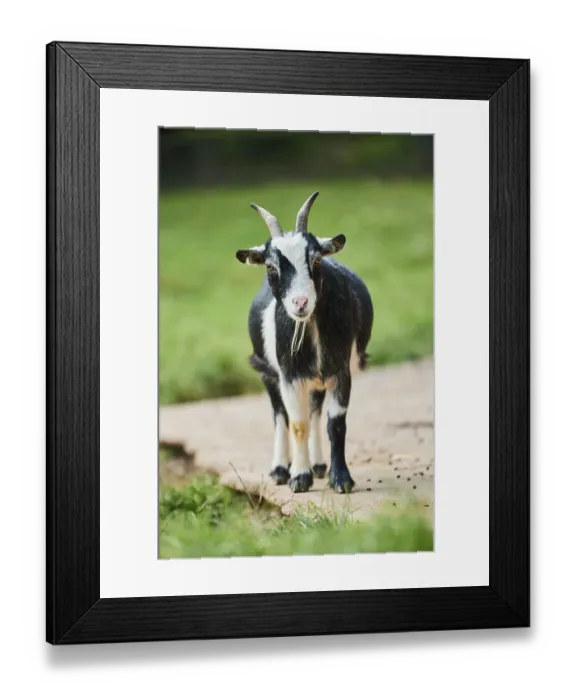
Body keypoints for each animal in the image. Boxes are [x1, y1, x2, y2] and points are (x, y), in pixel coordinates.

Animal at [236, 192, 373, 494]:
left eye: (317, 261)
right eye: (270, 266)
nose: (301, 303)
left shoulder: (340, 371)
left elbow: (335, 424)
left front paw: (341, 479)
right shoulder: (289, 376)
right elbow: (297, 424)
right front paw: (299, 477)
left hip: (318, 379)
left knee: (315, 412)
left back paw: (319, 465)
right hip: (268, 373)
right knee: (280, 416)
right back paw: (279, 470)